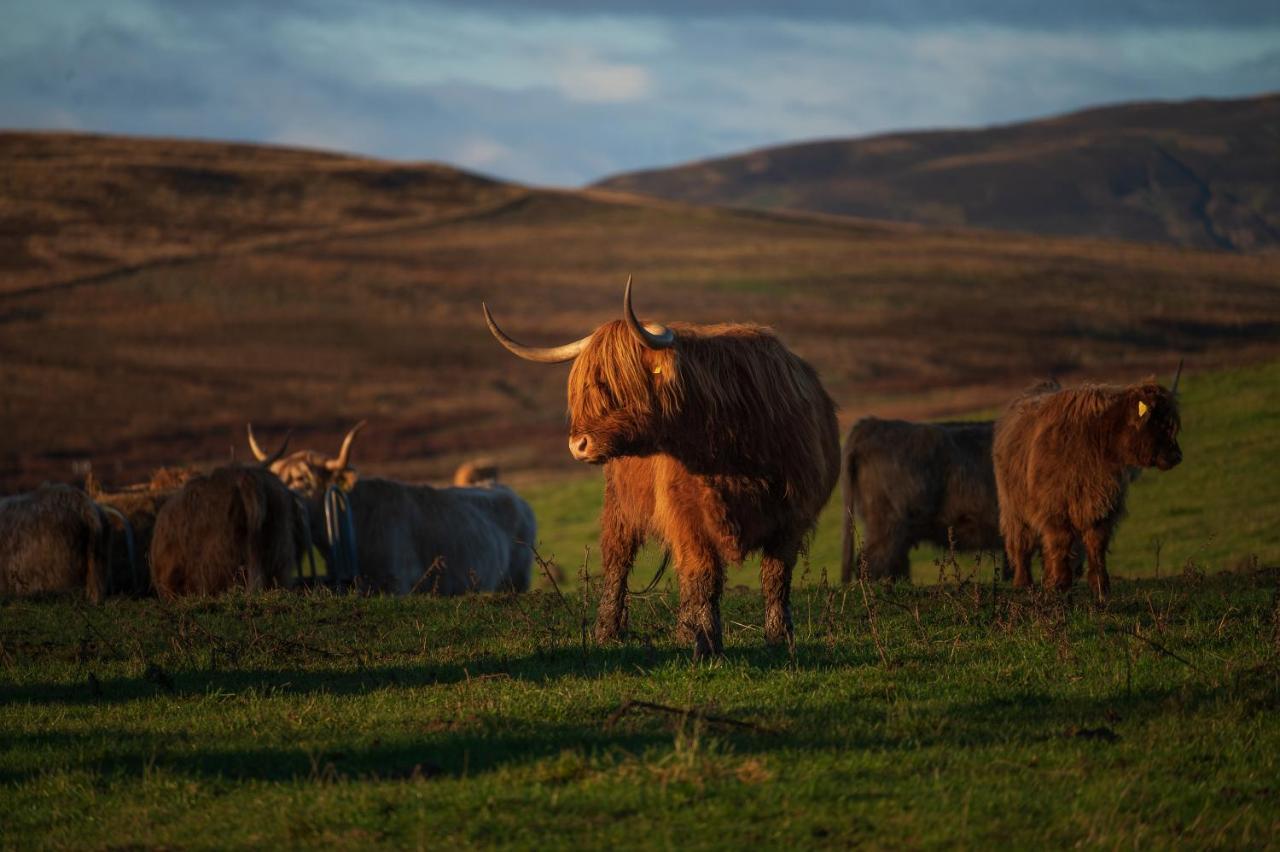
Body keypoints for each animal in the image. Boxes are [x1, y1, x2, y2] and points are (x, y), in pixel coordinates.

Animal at [483, 275, 844, 652]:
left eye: (615, 384)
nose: (578, 445)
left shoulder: (792, 516)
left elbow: (776, 577)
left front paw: (778, 636)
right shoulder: (688, 517)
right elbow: (702, 575)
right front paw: (706, 640)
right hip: (620, 506)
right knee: (618, 561)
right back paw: (607, 630)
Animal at [993, 370, 1182, 596]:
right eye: (1160, 423)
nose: (1177, 455)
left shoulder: (1102, 505)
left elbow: (1095, 544)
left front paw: (1100, 586)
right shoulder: (1055, 506)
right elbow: (1061, 541)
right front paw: (1060, 584)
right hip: (1013, 507)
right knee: (1021, 542)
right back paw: (1023, 582)